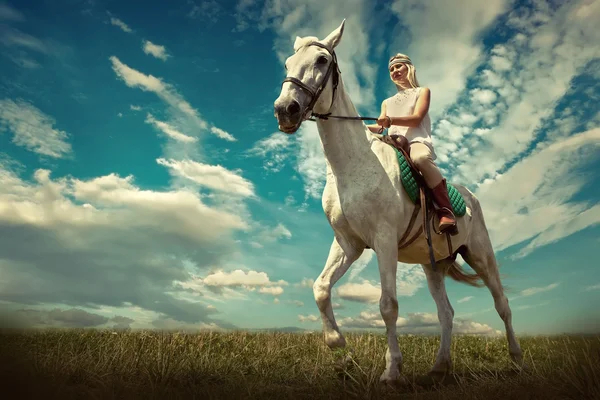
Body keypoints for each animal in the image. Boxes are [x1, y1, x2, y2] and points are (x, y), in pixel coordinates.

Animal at [274, 19, 524, 384]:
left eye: (322, 60)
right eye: (288, 64)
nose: (285, 110)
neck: (352, 165)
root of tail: (470, 196)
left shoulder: (383, 241)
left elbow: (388, 305)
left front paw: (392, 370)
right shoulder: (348, 244)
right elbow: (320, 288)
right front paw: (338, 345)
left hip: (481, 255)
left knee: (502, 304)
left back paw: (517, 360)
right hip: (433, 265)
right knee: (446, 313)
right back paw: (439, 367)